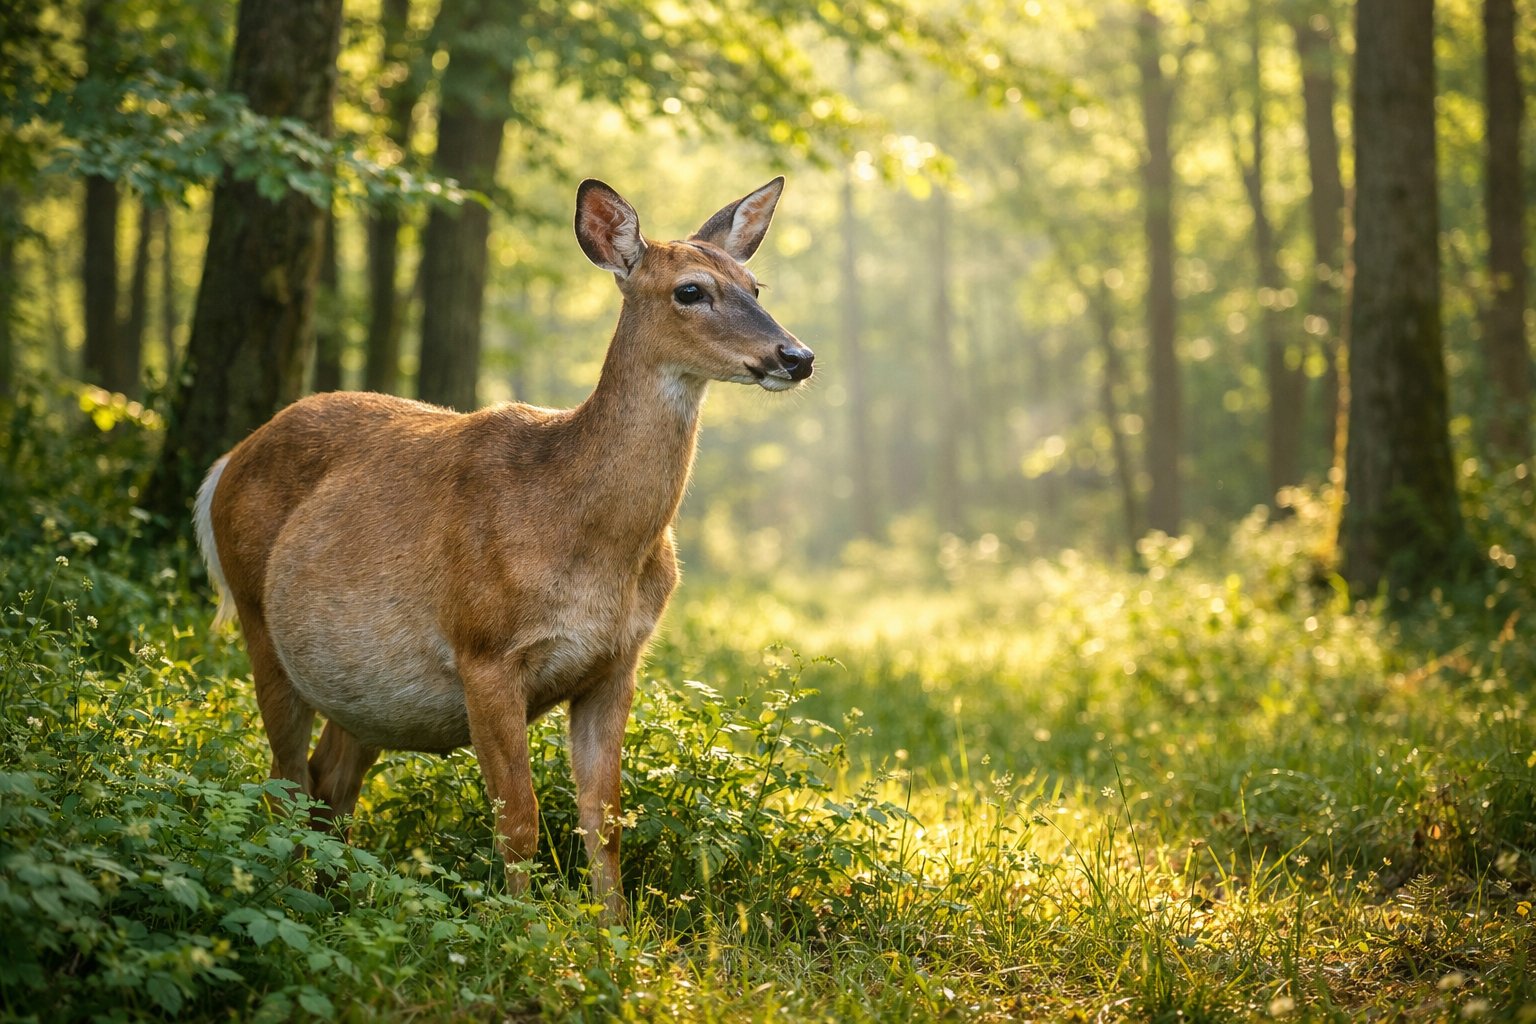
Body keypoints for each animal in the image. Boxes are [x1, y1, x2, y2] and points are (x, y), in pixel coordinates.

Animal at [194, 177, 813, 920]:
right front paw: (524, 930)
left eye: (756, 284)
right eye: (690, 290)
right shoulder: (483, 648)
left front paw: (615, 933)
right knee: (284, 780)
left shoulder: (618, 662)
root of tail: (222, 466)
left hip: (365, 690)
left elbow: (604, 819)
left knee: (327, 784)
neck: (590, 539)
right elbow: (518, 818)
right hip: (258, 619)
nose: (797, 357)